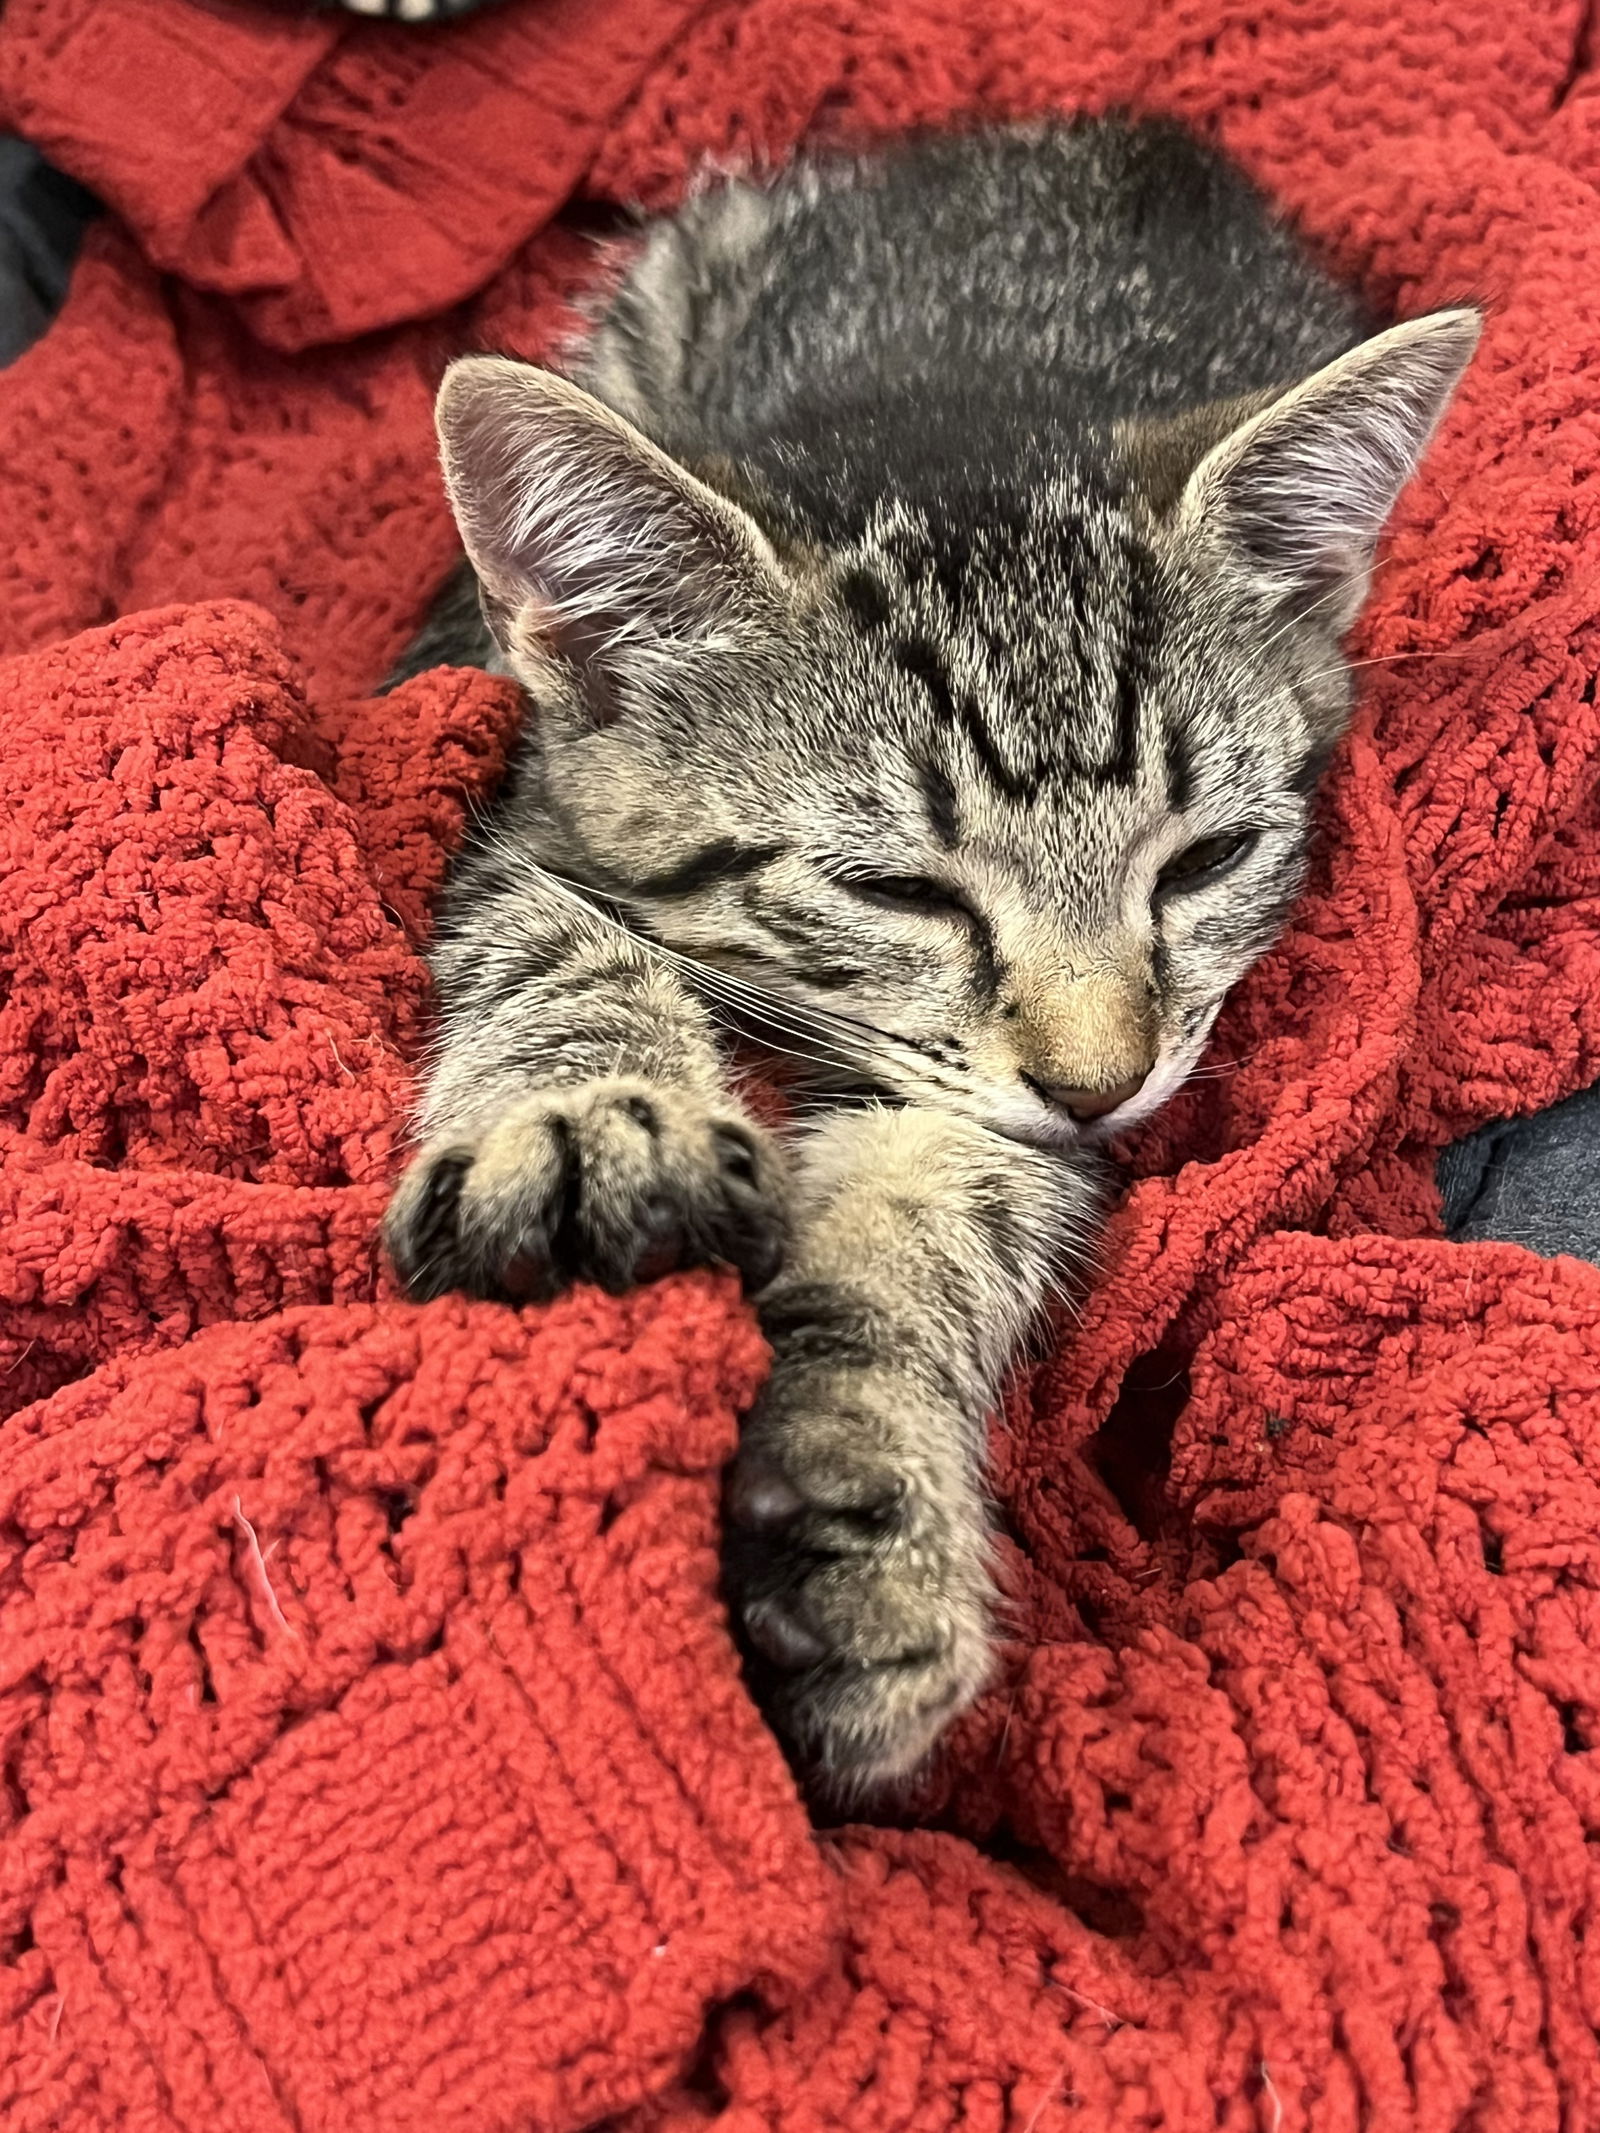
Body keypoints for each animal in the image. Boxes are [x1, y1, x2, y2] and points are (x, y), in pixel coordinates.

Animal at [386, 112, 1476, 1783]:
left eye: (1207, 861)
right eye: (897, 890)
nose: (1103, 1081)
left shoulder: (1018, 1110)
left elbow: (952, 1199)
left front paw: (862, 1494)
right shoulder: (518, 815)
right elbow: (555, 949)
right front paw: (584, 1125)